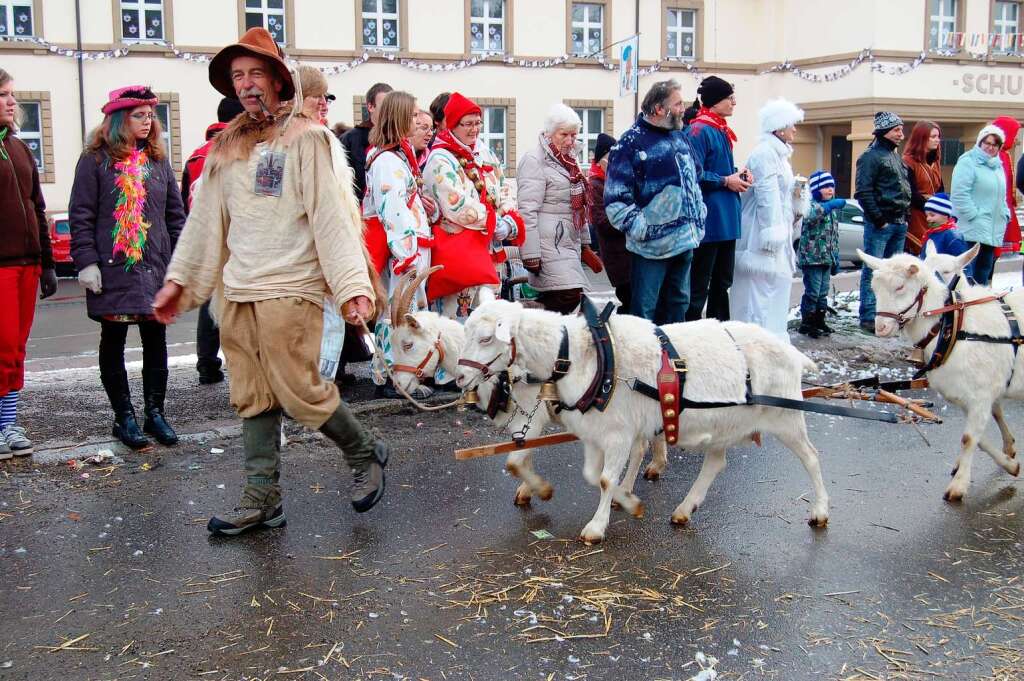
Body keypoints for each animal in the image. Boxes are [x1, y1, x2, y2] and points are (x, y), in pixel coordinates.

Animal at [385, 270, 671, 503]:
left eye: (408, 344)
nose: (398, 385)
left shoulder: (532, 415)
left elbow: (514, 462)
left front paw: (541, 490)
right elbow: (522, 454)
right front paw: (527, 491)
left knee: (638, 446)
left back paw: (628, 487)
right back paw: (656, 465)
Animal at [458, 301, 831, 544]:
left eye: (487, 338)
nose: (460, 378)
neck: (584, 354)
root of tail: (792, 353)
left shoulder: (618, 433)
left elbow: (604, 479)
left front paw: (596, 527)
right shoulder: (595, 434)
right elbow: (593, 475)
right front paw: (628, 500)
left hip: (785, 416)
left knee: (812, 457)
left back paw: (820, 512)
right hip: (725, 425)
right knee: (715, 463)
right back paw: (684, 509)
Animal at [860, 245, 1019, 499]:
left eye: (900, 287)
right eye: (874, 288)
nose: (881, 328)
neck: (953, 325)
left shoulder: (981, 394)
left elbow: (969, 438)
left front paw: (958, 487)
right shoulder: (967, 397)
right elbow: (979, 438)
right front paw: (1010, 462)